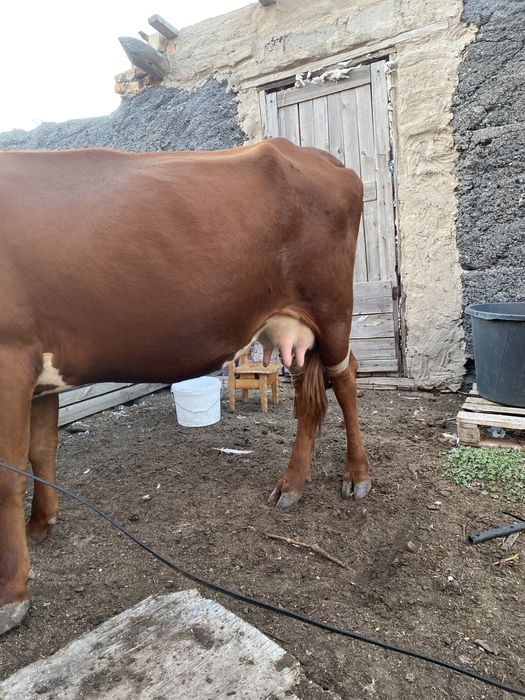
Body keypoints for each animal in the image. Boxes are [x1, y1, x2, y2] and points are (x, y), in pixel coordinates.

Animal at [0, 137, 370, 634]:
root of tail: (310, 152)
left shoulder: (10, 353)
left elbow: (7, 477)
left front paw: (11, 594)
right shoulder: (41, 370)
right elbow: (41, 452)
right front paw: (41, 524)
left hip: (332, 310)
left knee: (346, 378)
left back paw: (357, 475)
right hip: (295, 327)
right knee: (308, 398)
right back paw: (291, 483)